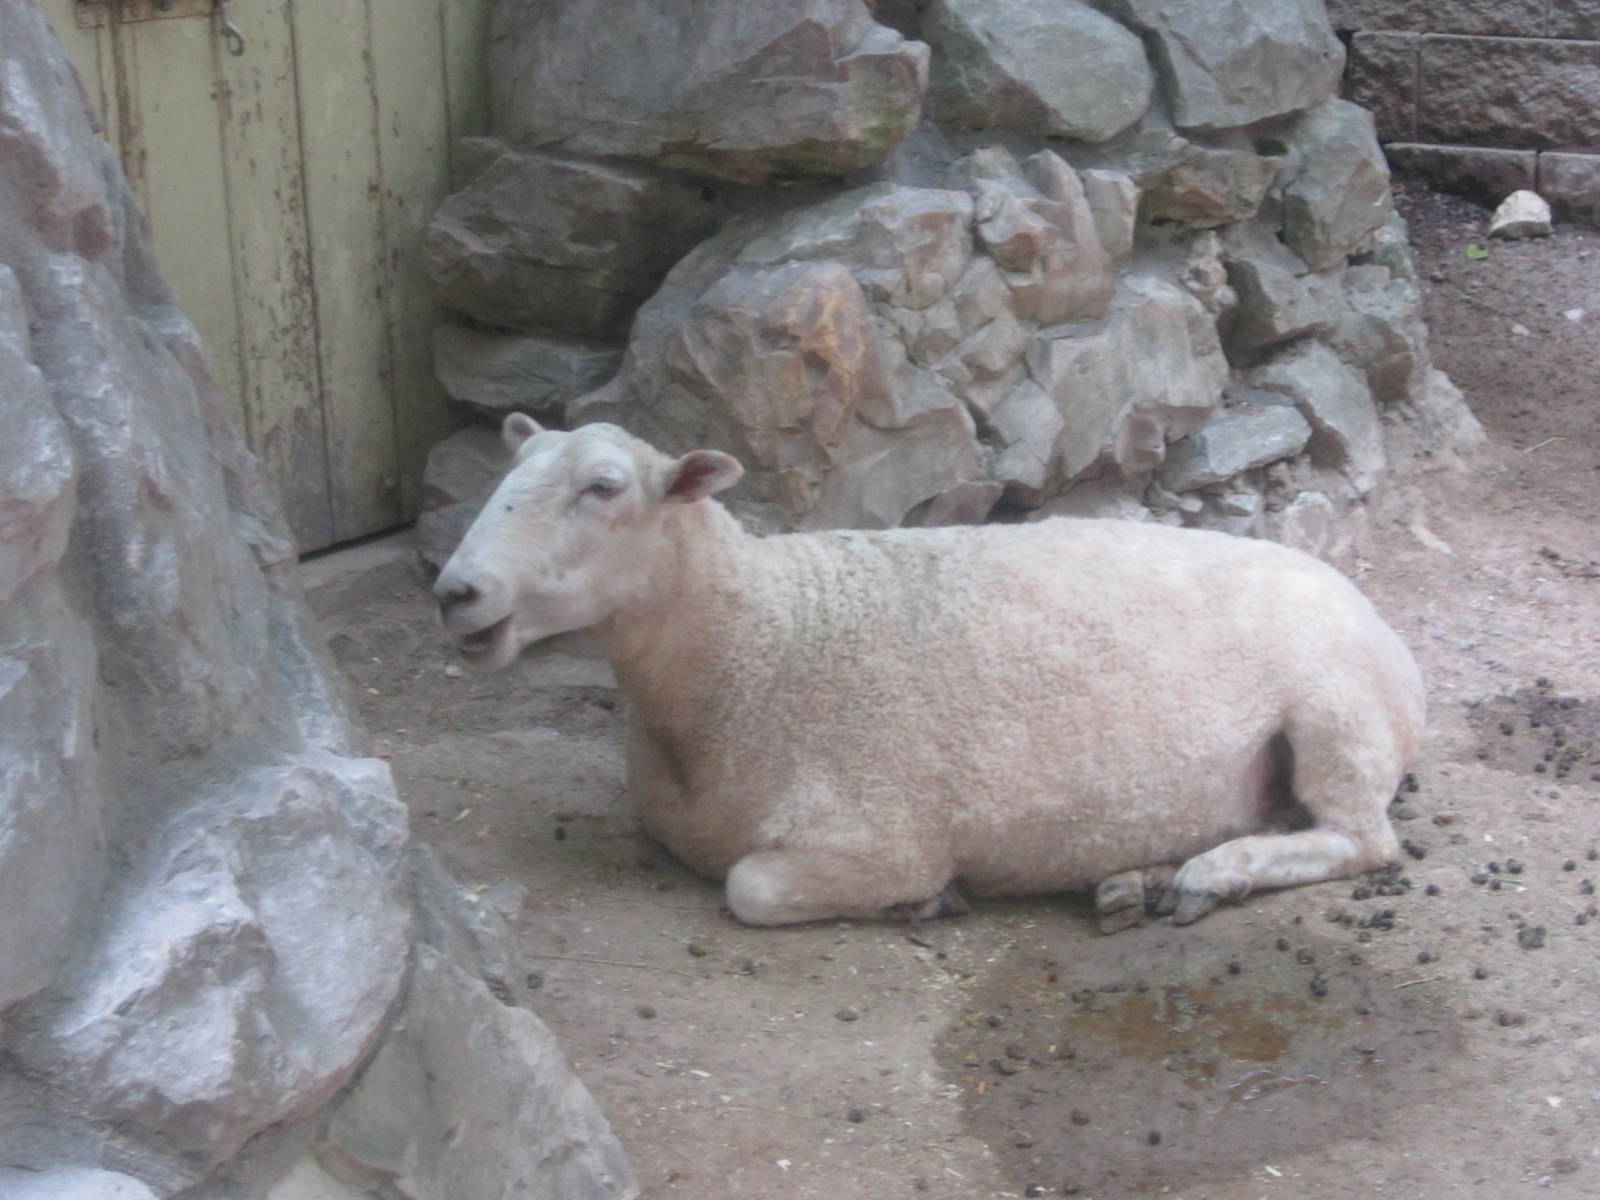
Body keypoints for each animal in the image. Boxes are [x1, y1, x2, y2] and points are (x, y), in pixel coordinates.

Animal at [434, 414, 1425, 928]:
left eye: (604, 488)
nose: (455, 592)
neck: (758, 644)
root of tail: (1394, 646)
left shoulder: (878, 836)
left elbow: (751, 890)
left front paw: (926, 905)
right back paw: (1136, 879)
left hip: (1335, 711)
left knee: (1361, 839)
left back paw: (1219, 873)